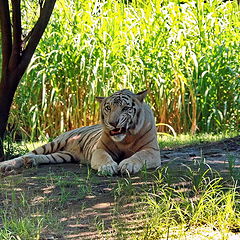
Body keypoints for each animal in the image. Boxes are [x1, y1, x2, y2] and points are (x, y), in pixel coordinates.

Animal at [0, 89, 161, 175]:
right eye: (108, 108)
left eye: (125, 108)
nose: (112, 123)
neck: (125, 138)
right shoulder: (100, 149)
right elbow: (104, 157)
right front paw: (108, 167)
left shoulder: (151, 150)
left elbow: (139, 155)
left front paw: (128, 165)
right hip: (54, 143)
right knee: (26, 154)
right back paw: (7, 164)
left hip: (63, 155)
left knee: (43, 157)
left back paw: (31, 161)